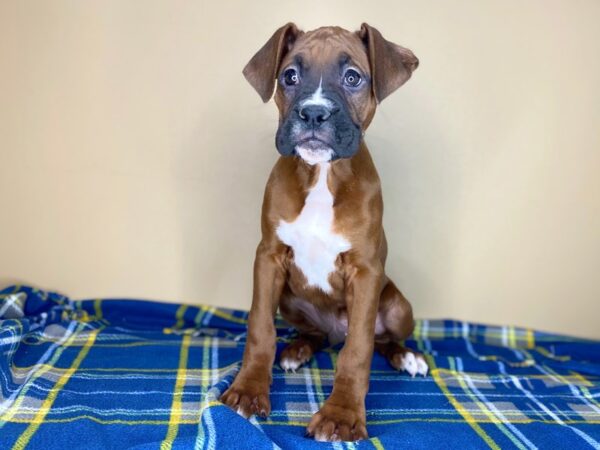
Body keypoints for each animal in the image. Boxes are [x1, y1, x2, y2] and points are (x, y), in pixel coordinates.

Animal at [221, 22, 426, 442]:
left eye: (353, 77)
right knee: (314, 334)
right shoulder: (268, 257)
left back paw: (407, 356)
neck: (321, 175)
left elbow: (358, 349)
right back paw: (297, 350)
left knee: (381, 339)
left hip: (399, 307)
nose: (313, 113)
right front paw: (248, 390)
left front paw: (342, 414)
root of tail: (334, 331)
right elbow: (260, 328)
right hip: (289, 300)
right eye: (289, 76)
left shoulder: (365, 272)